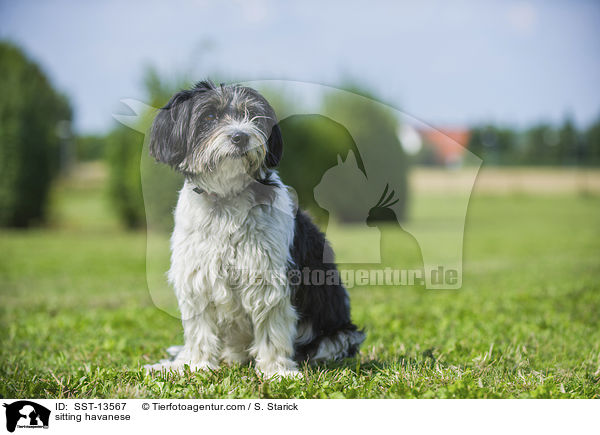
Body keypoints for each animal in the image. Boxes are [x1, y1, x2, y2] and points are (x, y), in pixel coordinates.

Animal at [144, 82, 366, 378]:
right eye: (210, 117)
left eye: (253, 116)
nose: (240, 136)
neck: (226, 197)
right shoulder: (197, 278)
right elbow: (200, 331)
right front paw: (195, 366)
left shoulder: (267, 278)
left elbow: (271, 329)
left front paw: (277, 372)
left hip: (337, 336)